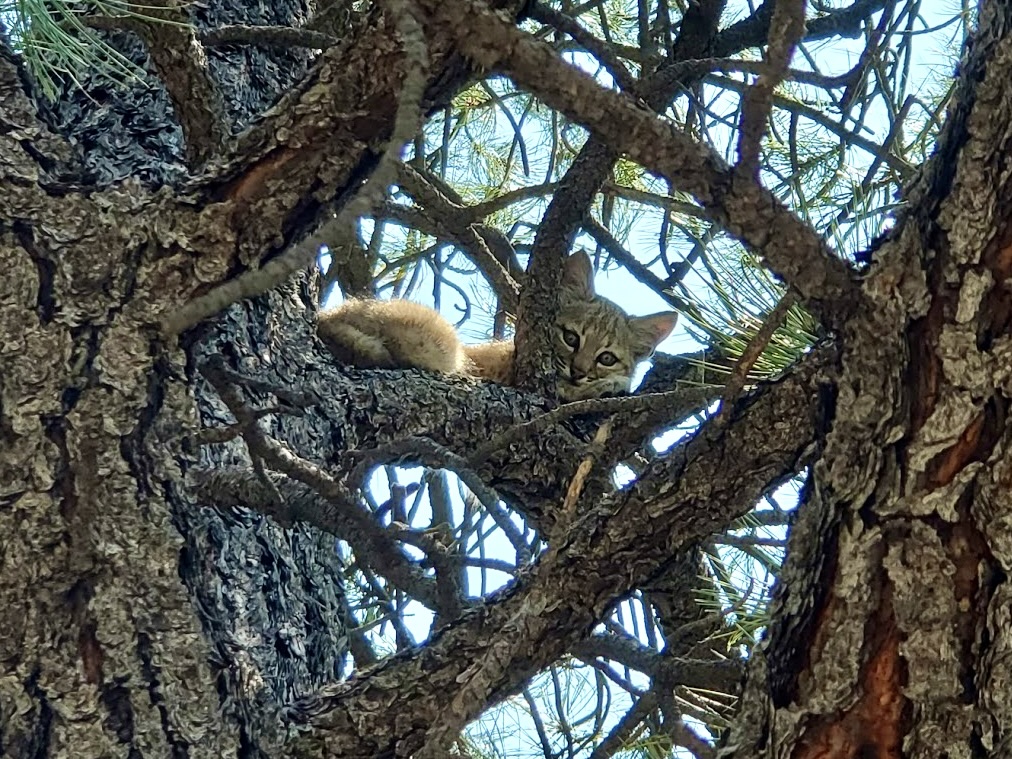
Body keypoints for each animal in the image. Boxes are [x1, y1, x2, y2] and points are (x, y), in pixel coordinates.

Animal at [317, 250, 680, 404]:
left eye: (606, 357)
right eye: (571, 337)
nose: (578, 371)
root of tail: (325, 317)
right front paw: (607, 386)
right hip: (443, 341)